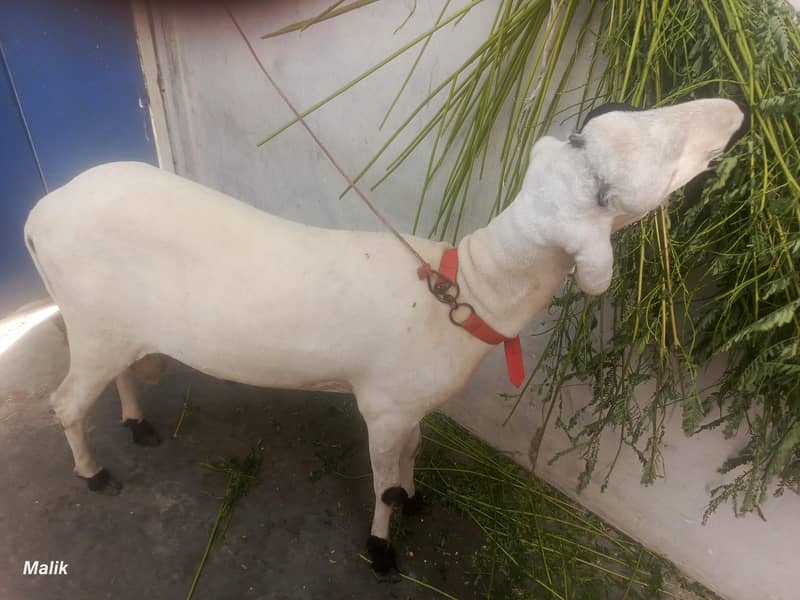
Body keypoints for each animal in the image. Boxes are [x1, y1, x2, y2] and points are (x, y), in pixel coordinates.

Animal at [24, 98, 745, 577]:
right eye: (625, 181)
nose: (732, 110)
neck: (472, 288)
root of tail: (40, 213)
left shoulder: (410, 406)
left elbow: (412, 459)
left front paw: (418, 501)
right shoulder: (385, 407)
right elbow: (383, 485)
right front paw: (382, 549)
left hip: (107, 324)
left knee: (112, 374)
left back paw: (137, 423)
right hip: (92, 319)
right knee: (64, 403)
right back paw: (95, 473)